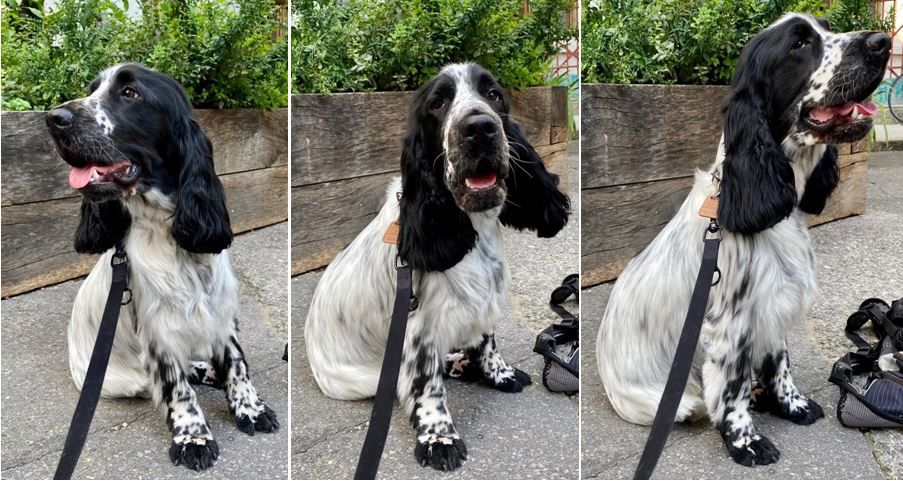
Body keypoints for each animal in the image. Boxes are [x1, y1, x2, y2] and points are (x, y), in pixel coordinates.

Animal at [45, 62, 278, 468]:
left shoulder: (221, 311)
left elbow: (237, 362)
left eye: (130, 93)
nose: (54, 118)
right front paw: (193, 438)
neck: (171, 238)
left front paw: (250, 407)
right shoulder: (158, 330)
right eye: (92, 90)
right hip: (123, 379)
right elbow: (177, 387)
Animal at [308, 62, 568, 470]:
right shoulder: (419, 330)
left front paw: (499, 373)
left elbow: (487, 340)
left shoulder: (482, 301)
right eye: (438, 103)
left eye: (493, 94)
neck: (468, 226)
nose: (480, 128)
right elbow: (427, 385)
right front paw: (439, 439)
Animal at [596, 14, 888, 464]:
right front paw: (746, 441)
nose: (883, 42)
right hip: (671, 400)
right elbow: (731, 390)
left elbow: (780, 364)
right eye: (799, 44)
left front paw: (792, 405)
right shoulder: (730, 328)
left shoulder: (772, 307)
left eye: (827, 27)